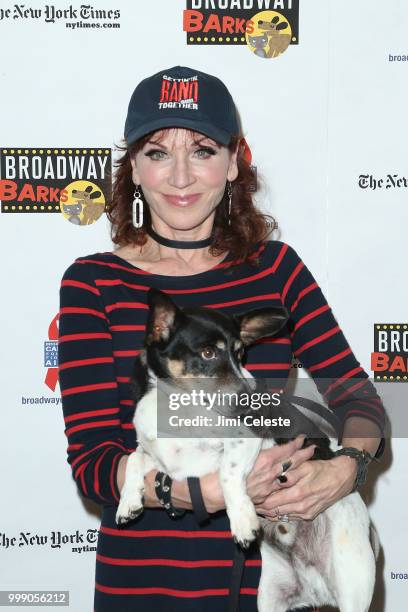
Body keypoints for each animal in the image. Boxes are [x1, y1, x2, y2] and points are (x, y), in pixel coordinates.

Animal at [116, 288, 378, 612]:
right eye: (208, 353)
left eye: (240, 354)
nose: (249, 400)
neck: (179, 405)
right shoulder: (163, 456)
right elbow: (134, 459)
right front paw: (128, 502)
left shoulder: (246, 440)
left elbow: (228, 476)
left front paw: (242, 522)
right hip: (270, 597)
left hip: (351, 579)